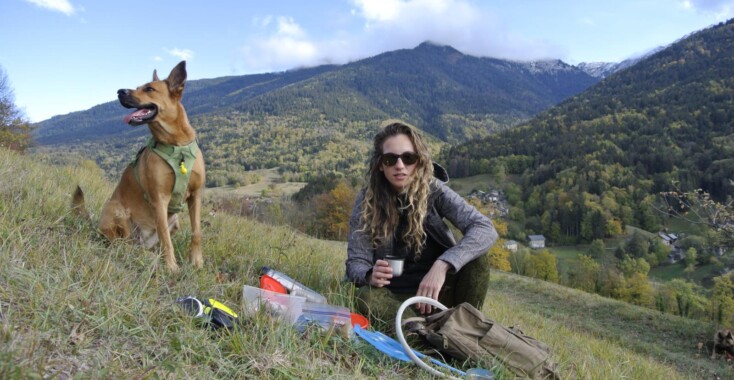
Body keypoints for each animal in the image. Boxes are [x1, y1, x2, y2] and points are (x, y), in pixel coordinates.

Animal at [73, 60, 204, 272]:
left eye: (149, 89)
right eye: (137, 86)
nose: (120, 91)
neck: (177, 147)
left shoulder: (196, 196)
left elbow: (196, 233)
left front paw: (197, 262)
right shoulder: (159, 199)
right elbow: (166, 239)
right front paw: (172, 267)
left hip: (173, 222)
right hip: (117, 210)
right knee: (122, 244)